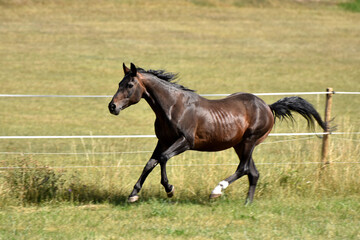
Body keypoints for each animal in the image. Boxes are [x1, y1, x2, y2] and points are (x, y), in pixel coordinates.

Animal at [108, 62, 328, 203]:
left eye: (129, 85)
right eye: (119, 83)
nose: (112, 106)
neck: (172, 107)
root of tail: (267, 106)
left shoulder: (185, 141)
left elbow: (162, 159)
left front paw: (169, 189)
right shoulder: (163, 140)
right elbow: (150, 163)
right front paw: (133, 194)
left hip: (249, 141)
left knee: (243, 168)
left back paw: (216, 191)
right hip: (240, 145)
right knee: (253, 173)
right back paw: (247, 203)